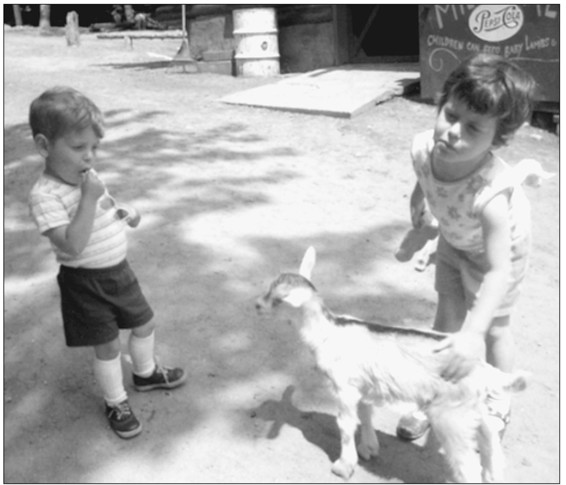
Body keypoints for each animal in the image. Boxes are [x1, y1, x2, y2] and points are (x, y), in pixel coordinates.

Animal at [258, 248, 528, 482]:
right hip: (474, 409)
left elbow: (345, 424)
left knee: (467, 465)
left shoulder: (344, 388)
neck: (328, 332)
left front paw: (344, 466)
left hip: (452, 416)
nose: (257, 305)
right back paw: (493, 474)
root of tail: (481, 369)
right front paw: (368, 448)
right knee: (490, 442)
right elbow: (365, 413)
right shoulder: (363, 385)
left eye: (277, 298)